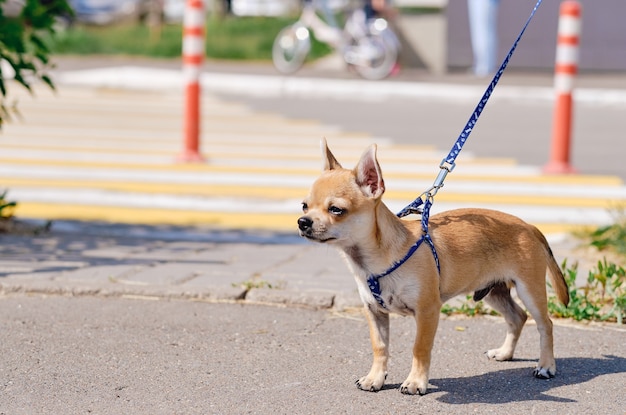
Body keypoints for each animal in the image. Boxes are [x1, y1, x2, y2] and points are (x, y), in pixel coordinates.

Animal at [294, 138, 568, 394]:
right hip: (494, 291)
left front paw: (416, 382)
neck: (373, 260)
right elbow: (380, 347)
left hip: (529, 290)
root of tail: (529, 226)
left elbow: (419, 348)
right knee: (517, 317)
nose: (302, 222)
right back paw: (505, 353)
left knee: (545, 325)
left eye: (336, 209)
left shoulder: (427, 312)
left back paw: (546, 366)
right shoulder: (375, 312)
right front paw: (375, 378)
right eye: (304, 205)